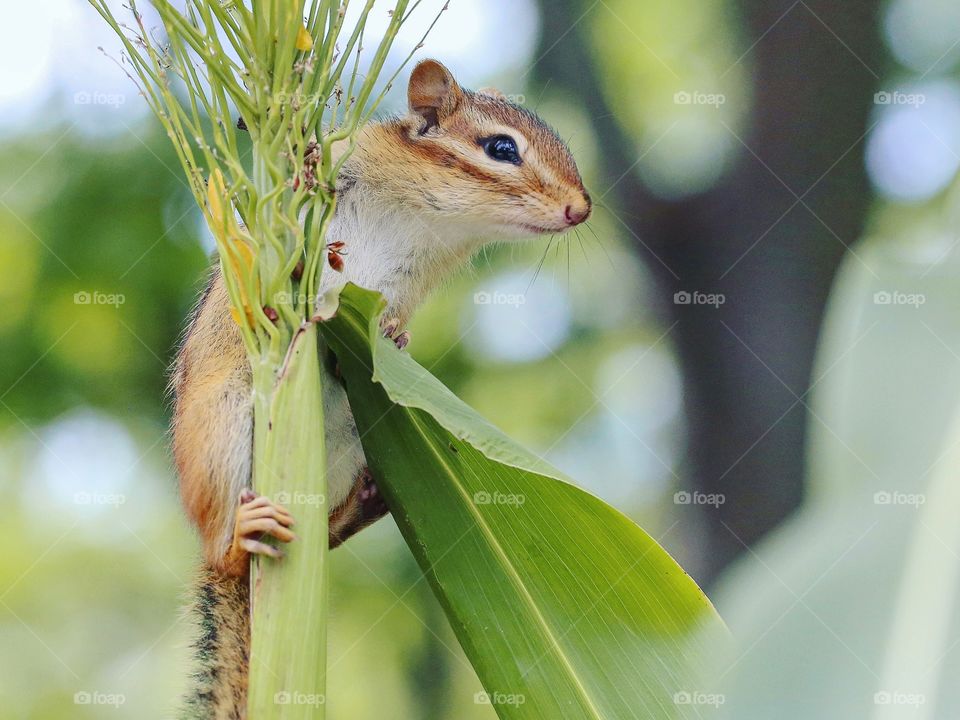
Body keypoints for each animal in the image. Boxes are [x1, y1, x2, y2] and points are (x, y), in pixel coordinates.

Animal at [170, 59, 591, 718]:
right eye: (502, 148)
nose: (581, 208)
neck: (427, 217)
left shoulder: (410, 284)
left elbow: (390, 317)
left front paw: (393, 335)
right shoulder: (351, 163)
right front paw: (303, 161)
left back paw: (366, 502)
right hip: (222, 429)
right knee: (223, 549)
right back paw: (242, 532)